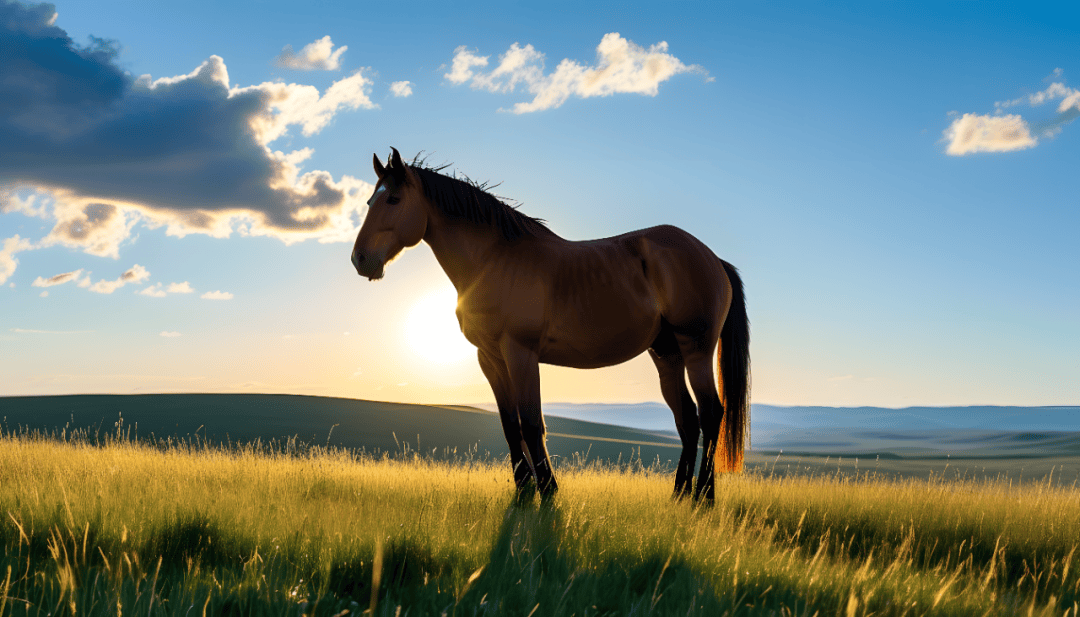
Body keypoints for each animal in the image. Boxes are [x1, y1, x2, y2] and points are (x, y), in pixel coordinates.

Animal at [351, 148, 750, 501]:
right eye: (370, 201)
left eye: (394, 200)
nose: (361, 260)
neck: (494, 260)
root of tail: (713, 258)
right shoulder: (490, 358)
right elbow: (511, 425)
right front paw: (524, 491)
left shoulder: (521, 354)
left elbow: (532, 423)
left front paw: (548, 491)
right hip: (666, 353)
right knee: (688, 418)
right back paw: (680, 493)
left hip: (696, 349)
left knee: (711, 413)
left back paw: (705, 496)